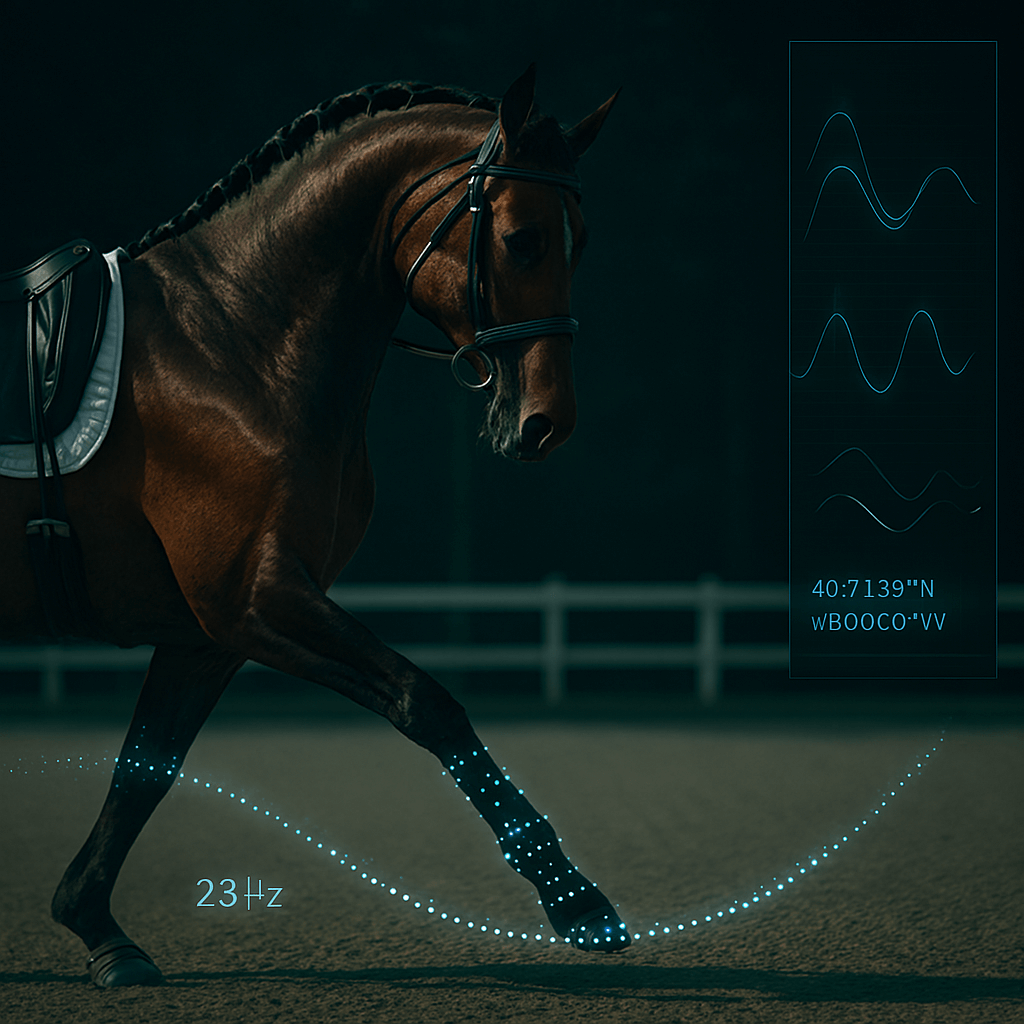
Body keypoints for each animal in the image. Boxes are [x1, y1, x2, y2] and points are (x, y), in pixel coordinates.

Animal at [0, 66, 629, 986]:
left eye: (580, 241)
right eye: (521, 241)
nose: (549, 423)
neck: (234, 343)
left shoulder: (210, 631)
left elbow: (144, 771)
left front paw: (98, 928)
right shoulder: (255, 596)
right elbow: (428, 702)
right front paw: (575, 899)